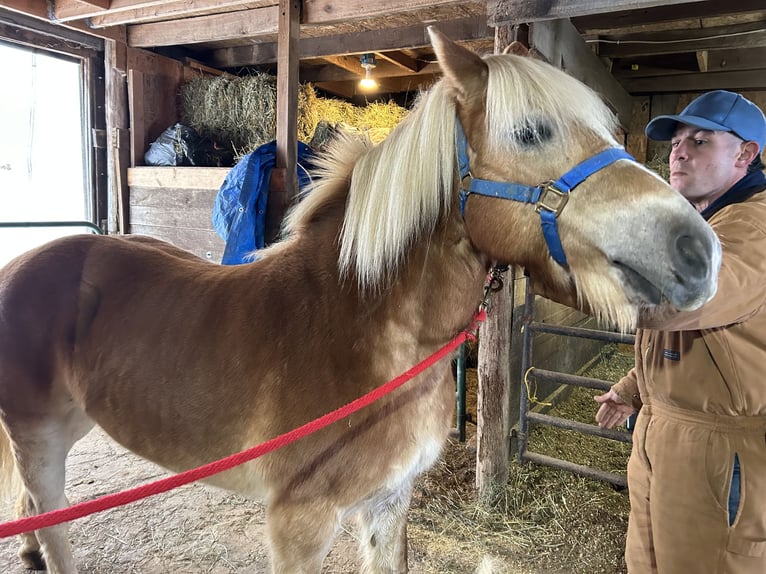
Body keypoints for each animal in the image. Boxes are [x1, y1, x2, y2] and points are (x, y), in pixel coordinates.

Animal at [0, 28, 724, 574]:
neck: (357, 331)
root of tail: (23, 264)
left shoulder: (388, 503)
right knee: (51, 521)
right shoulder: (299, 526)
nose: (697, 250)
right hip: (39, 438)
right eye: (530, 132)